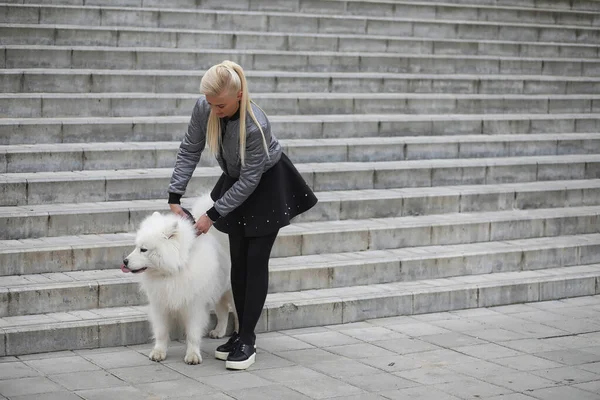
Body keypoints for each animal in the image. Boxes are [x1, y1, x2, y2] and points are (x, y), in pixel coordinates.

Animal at [121, 195, 237, 366]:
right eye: (136, 247)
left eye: (144, 249)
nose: (124, 261)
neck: (173, 271)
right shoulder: (160, 305)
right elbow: (161, 332)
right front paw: (158, 352)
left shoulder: (194, 306)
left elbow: (193, 334)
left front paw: (193, 355)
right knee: (222, 310)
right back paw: (219, 332)